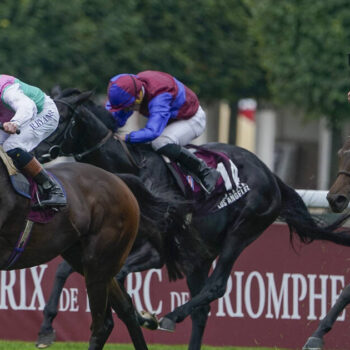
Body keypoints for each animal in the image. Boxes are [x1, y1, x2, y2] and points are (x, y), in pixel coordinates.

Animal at [34, 90, 350, 350]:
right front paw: (47, 327)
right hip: (200, 254)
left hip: (241, 231)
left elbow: (119, 275)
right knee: (202, 308)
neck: (130, 170)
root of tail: (271, 175)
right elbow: (64, 269)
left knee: (216, 286)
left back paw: (171, 316)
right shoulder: (105, 243)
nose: (34, 151)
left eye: (61, 119)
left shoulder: (153, 253)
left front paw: (142, 315)